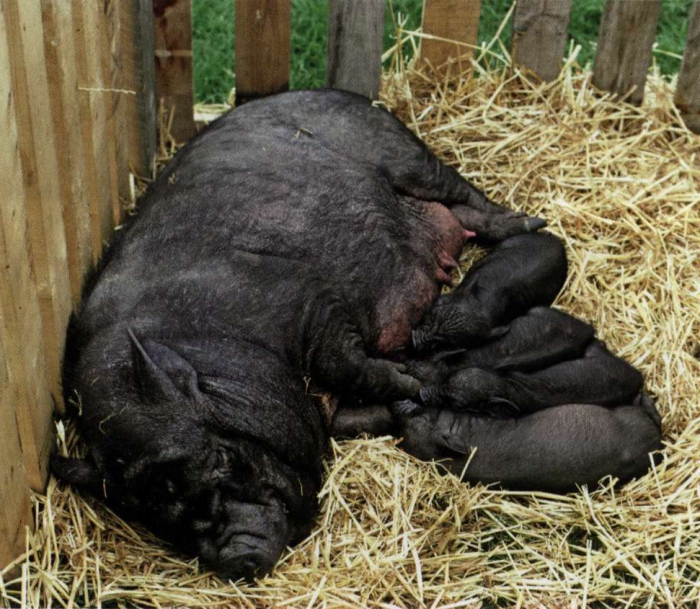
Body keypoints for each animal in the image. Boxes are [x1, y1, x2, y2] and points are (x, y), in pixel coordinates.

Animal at [56, 89, 548, 580]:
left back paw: (533, 223)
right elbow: (359, 412)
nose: (239, 556)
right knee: (462, 214)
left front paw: (412, 380)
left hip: (404, 155)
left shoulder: (312, 304)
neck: (216, 344)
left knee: (466, 195)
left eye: (220, 457)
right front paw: (401, 404)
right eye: (155, 516)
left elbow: (353, 366)